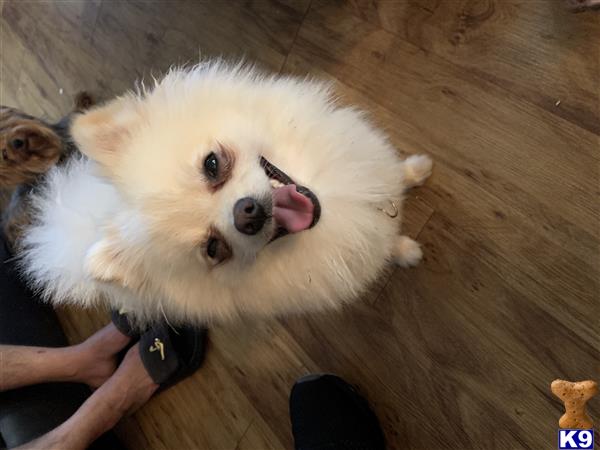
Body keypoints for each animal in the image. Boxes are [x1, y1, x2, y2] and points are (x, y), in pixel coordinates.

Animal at [18, 61, 432, 326]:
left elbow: (396, 176)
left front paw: (416, 170)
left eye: (212, 165)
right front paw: (407, 252)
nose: (247, 213)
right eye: (214, 248)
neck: (336, 206)